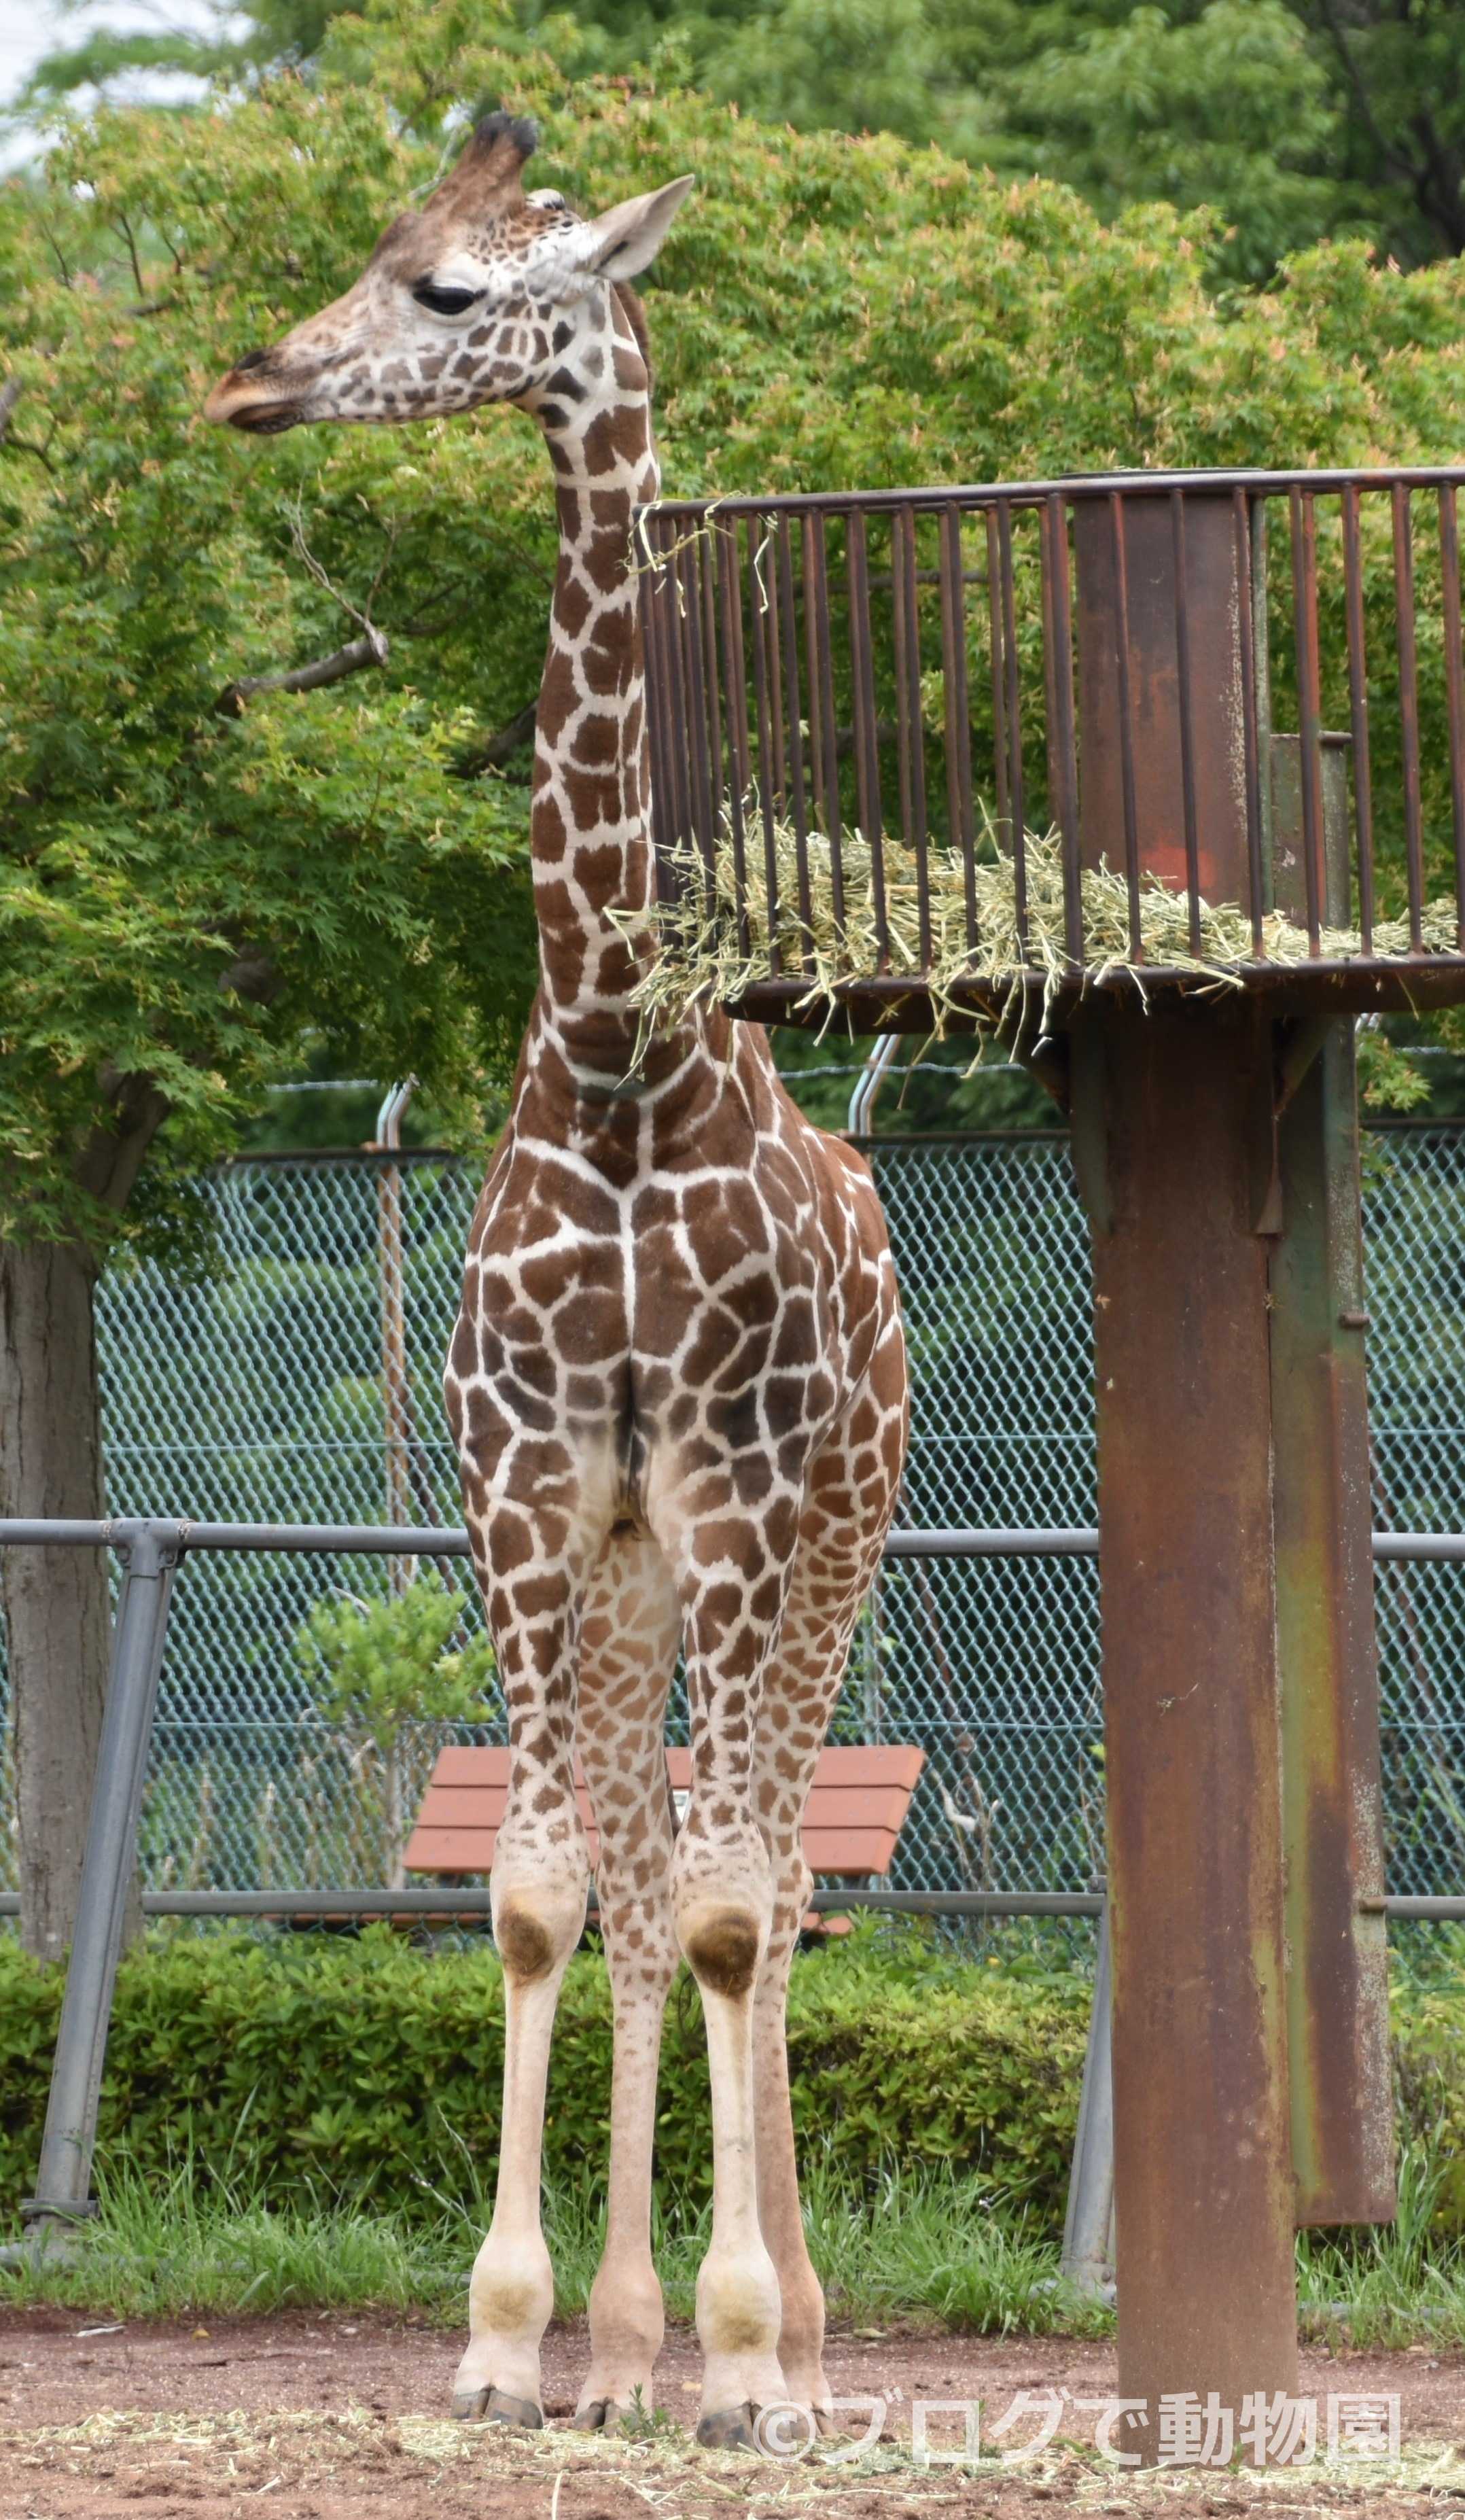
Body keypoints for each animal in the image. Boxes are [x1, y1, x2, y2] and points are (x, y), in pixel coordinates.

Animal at [204, 113, 902, 2439]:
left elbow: (732, 1909)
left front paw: (751, 2361)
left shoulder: (740, 1498)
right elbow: (536, 1896)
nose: (253, 379)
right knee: (644, 1872)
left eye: (449, 288)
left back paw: (793, 2334)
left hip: (826, 1543)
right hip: (628, 1569)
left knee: (770, 1875)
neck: (610, 1057)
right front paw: (514, 2339)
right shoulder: (523, 1488)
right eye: (372, 245)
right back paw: (624, 2347)